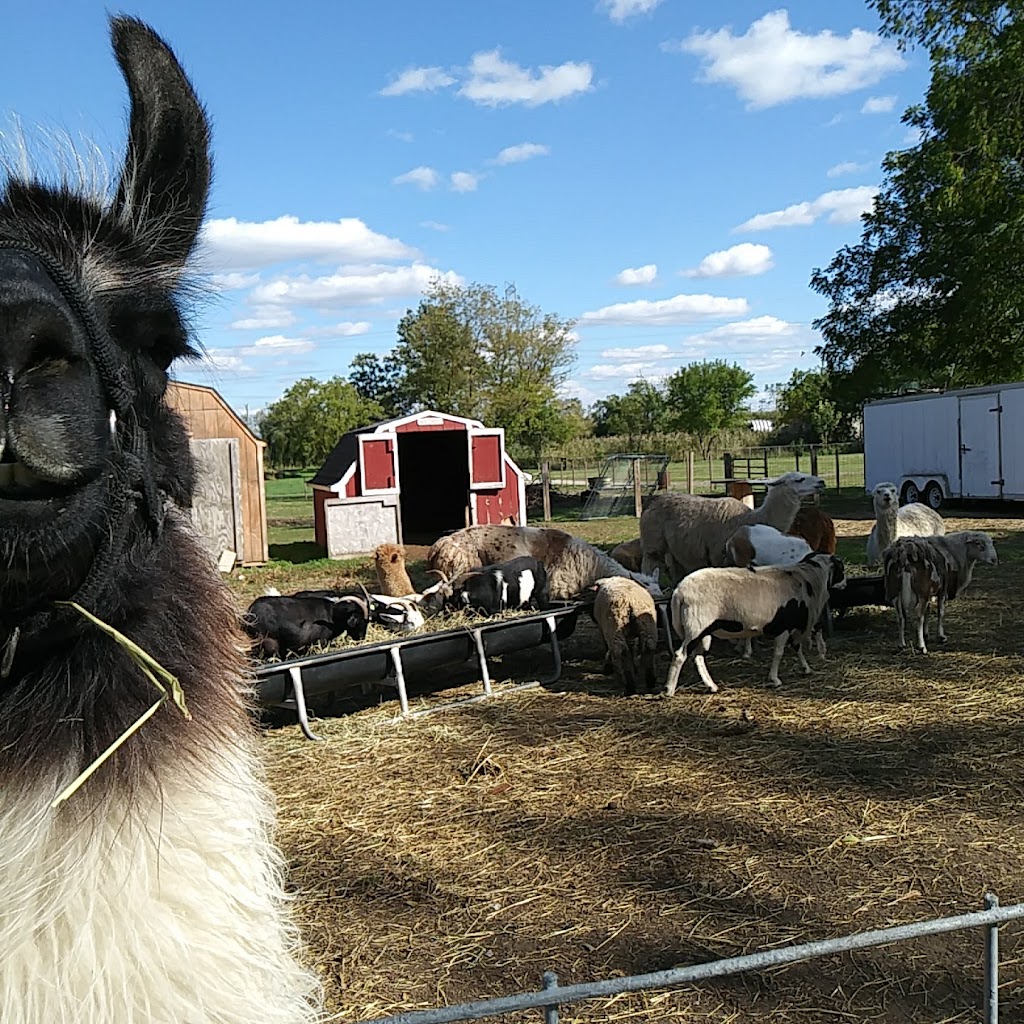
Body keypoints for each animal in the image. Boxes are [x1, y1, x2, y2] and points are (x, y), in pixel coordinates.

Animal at [643, 471, 827, 585]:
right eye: (799, 479)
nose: (821, 482)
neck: (750, 517)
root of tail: (652, 503)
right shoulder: (718, 554)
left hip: (675, 549)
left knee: (674, 570)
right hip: (653, 544)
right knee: (649, 565)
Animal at [663, 552, 847, 696]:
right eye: (841, 569)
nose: (845, 584)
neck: (807, 581)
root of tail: (679, 592)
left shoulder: (791, 625)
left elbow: (796, 647)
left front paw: (806, 668)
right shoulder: (784, 627)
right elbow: (779, 653)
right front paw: (775, 679)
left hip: (703, 631)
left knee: (698, 657)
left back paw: (712, 686)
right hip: (696, 627)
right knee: (680, 655)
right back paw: (670, 690)